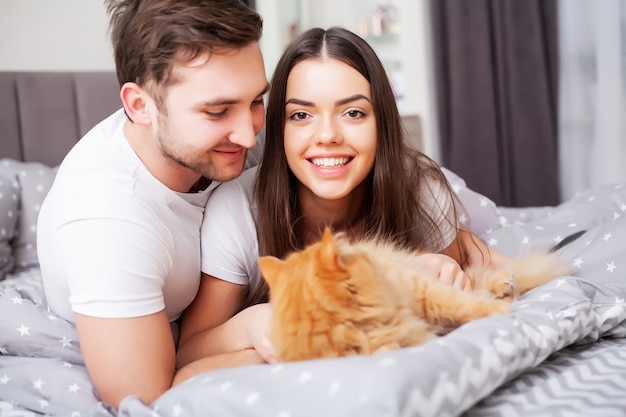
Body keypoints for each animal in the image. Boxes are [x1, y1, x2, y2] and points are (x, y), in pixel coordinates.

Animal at [258, 228, 572, 360]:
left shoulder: (423, 289)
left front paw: (497, 311)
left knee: (477, 281)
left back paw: (505, 285)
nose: (370, 257)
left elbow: (461, 304)